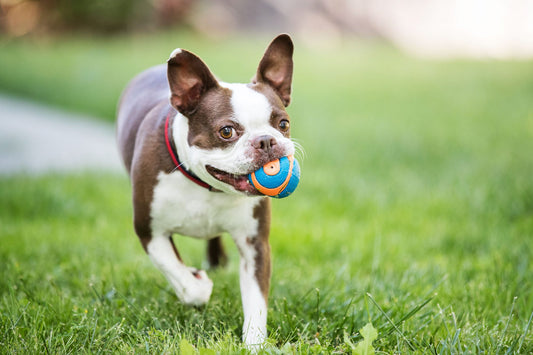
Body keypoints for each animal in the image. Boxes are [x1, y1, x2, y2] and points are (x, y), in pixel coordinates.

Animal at [116, 34, 296, 348]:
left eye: (283, 124)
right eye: (226, 131)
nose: (266, 141)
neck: (207, 186)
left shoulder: (255, 244)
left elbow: (256, 301)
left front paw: (254, 345)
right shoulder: (150, 232)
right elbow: (184, 281)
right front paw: (197, 281)